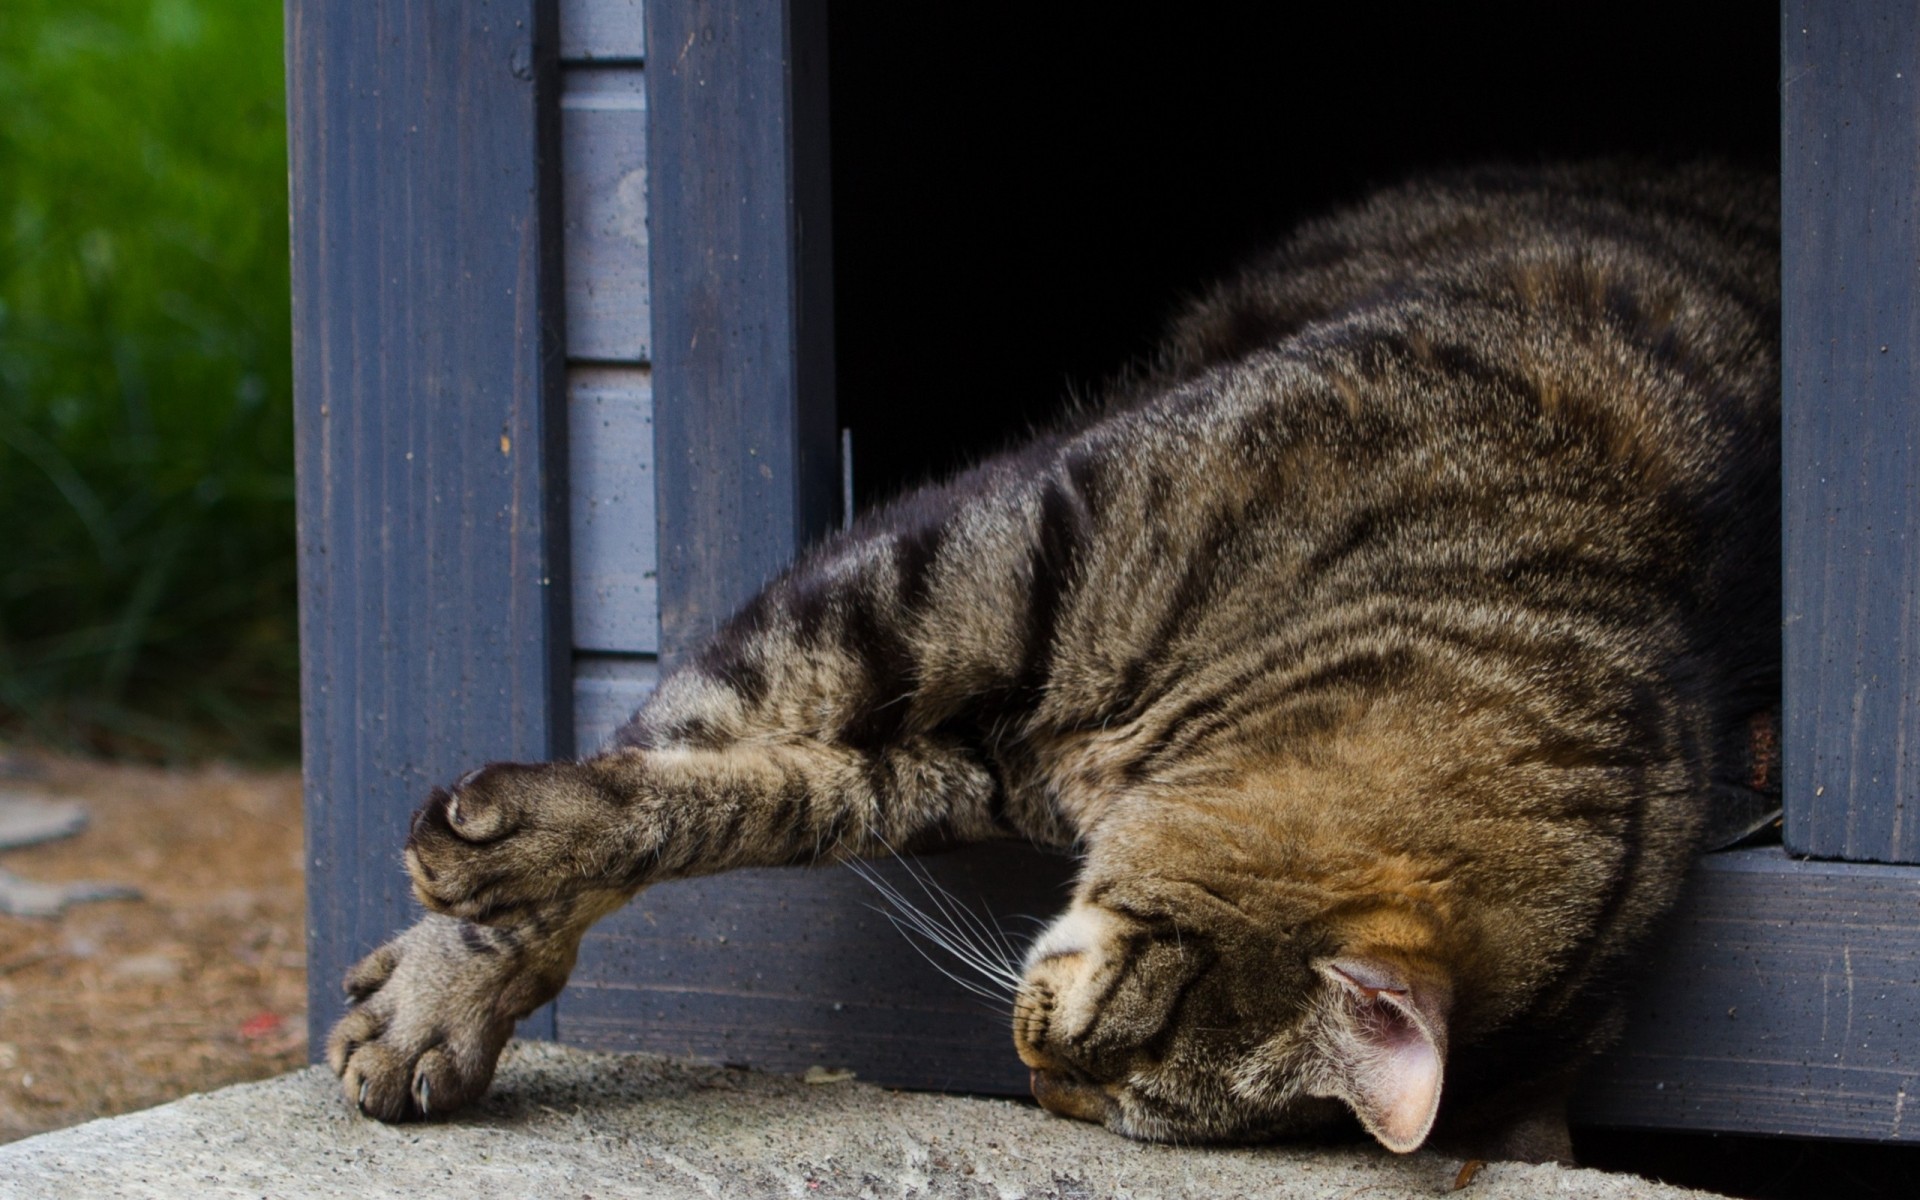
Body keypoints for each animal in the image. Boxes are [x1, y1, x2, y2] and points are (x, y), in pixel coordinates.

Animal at [322, 161, 1774, 1159]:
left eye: (1132, 1104)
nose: (1040, 1087)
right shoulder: (949, 572)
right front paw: (449, 983)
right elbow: (690, 732)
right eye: (1115, 1050)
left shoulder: (945, 758)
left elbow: (749, 797)